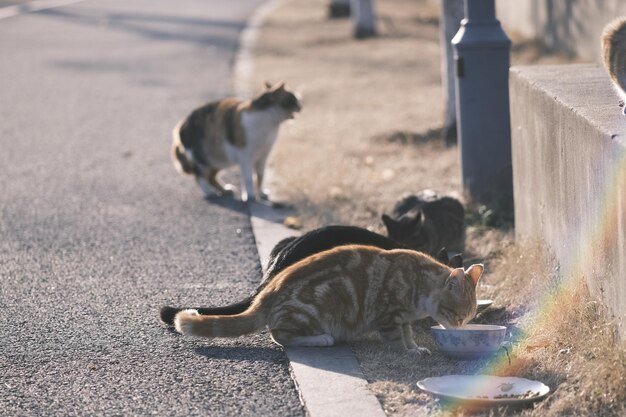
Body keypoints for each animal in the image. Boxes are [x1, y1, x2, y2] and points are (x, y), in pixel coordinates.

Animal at [169, 81, 298, 202]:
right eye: (293, 98)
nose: (300, 104)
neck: (270, 123)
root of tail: (179, 126)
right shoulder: (245, 156)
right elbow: (248, 177)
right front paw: (250, 196)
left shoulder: (263, 156)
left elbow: (260, 176)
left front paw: (261, 193)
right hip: (203, 158)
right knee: (199, 176)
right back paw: (209, 193)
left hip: (218, 159)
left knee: (211, 177)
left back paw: (224, 190)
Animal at [173, 244, 480, 352]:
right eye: (457, 314)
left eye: (469, 317)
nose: (460, 328)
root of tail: (268, 290)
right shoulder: (390, 314)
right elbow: (396, 339)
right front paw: (408, 352)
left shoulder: (402, 318)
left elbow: (408, 335)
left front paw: (415, 347)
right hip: (311, 310)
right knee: (279, 334)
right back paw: (321, 339)